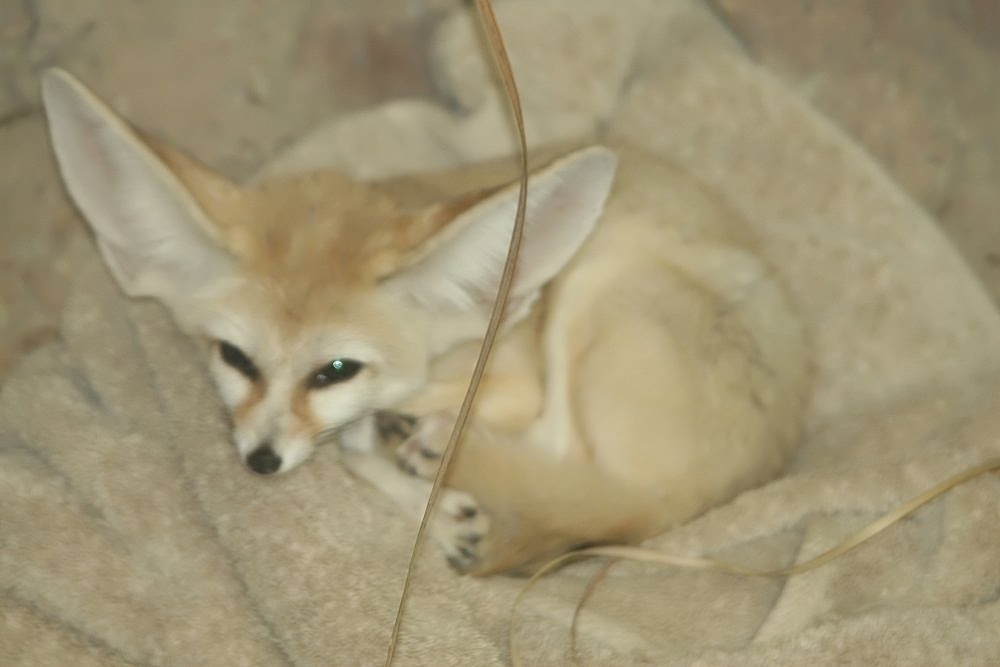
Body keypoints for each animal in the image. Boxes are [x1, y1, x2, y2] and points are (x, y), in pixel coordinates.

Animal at [40, 68, 809, 575]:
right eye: (236, 359)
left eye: (337, 368)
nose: (260, 462)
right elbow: (355, 451)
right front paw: (421, 492)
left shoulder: (513, 379)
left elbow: (399, 439)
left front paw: (425, 474)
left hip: (602, 282)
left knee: (560, 458)